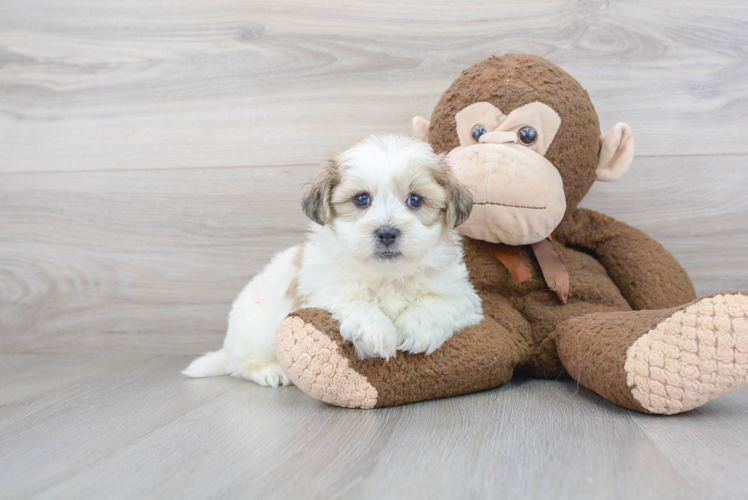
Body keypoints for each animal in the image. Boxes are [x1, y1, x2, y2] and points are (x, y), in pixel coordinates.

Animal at [184, 136, 482, 386]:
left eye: (416, 200)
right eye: (361, 199)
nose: (387, 232)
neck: (385, 275)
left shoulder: (461, 294)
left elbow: (439, 301)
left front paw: (417, 326)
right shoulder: (322, 288)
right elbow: (352, 300)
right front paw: (376, 332)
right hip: (255, 332)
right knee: (241, 364)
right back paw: (269, 371)